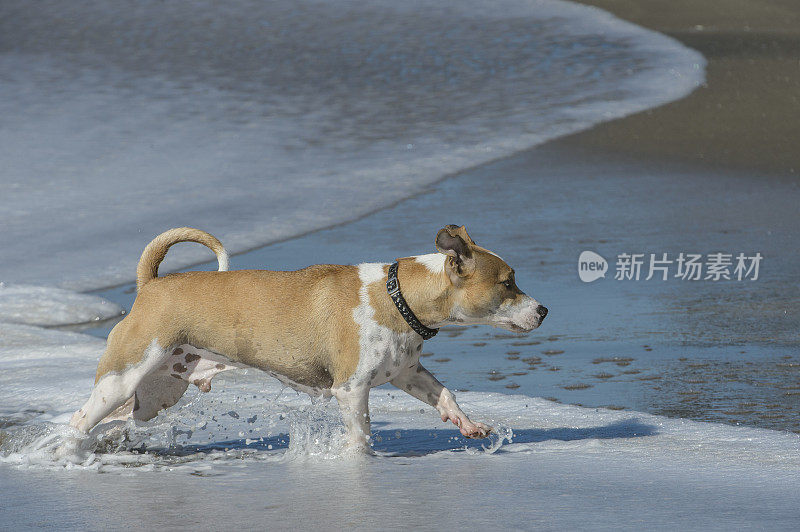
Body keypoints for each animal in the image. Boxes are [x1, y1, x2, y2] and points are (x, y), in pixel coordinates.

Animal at [70, 225, 544, 448]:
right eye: (508, 283)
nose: (543, 311)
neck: (397, 296)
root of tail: (150, 285)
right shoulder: (351, 390)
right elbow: (360, 434)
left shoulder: (408, 374)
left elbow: (446, 395)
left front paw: (467, 424)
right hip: (122, 377)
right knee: (79, 420)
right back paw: (66, 452)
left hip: (155, 393)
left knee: (117, 419)